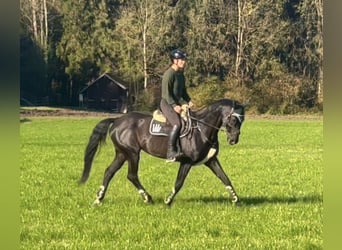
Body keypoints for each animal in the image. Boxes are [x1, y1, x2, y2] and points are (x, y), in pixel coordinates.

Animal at [80, 98, 244, 206]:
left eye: (241, 120)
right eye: (233, 120)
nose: (233, 140)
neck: (201, 129)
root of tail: (117, 120)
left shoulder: (211, 160)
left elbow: (225, 178)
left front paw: (236, 199)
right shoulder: (187, 162)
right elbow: (179, 183)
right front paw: (168, 200)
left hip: (122, 154)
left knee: (109, 171)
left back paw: (98, 199)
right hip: (132, 153)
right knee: (132, 175)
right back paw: (147, 198)